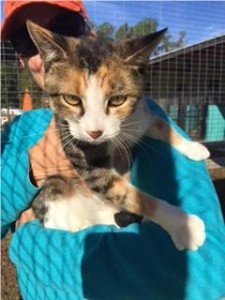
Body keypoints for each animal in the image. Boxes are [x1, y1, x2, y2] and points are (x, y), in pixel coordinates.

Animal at [27, 21, 208, 251]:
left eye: (117, 100)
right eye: (71, 99)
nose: (95, 133)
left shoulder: (141, 115)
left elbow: (161, 124)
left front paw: (194, 147)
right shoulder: (85, 158)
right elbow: (130, 195)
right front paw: (183, 225)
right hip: (54, 188)